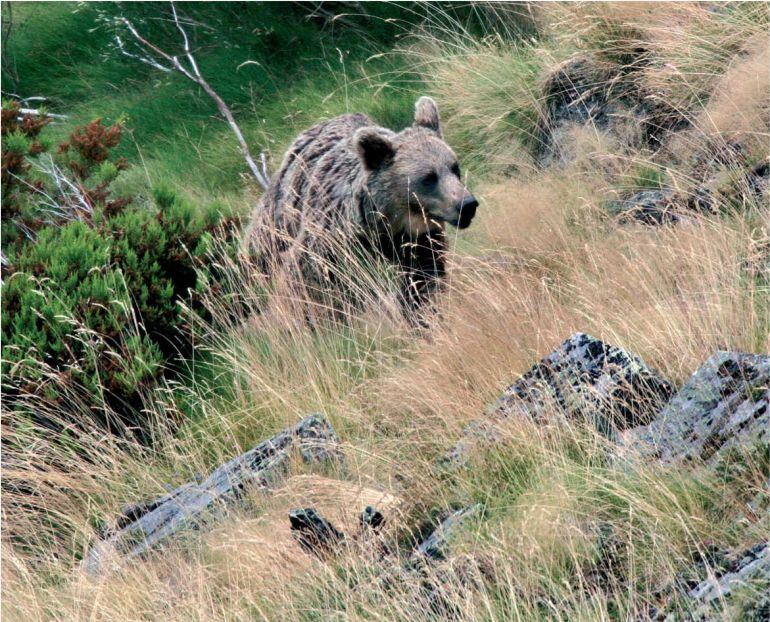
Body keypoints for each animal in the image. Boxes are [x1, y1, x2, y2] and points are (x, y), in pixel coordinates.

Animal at [244, 98, 474, 316]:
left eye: (454, 167)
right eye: (428, 178)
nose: (467, 205)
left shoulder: (419, 244)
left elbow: (422, 283)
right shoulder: (330, 245)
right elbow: (309, 284)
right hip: (279, 218)